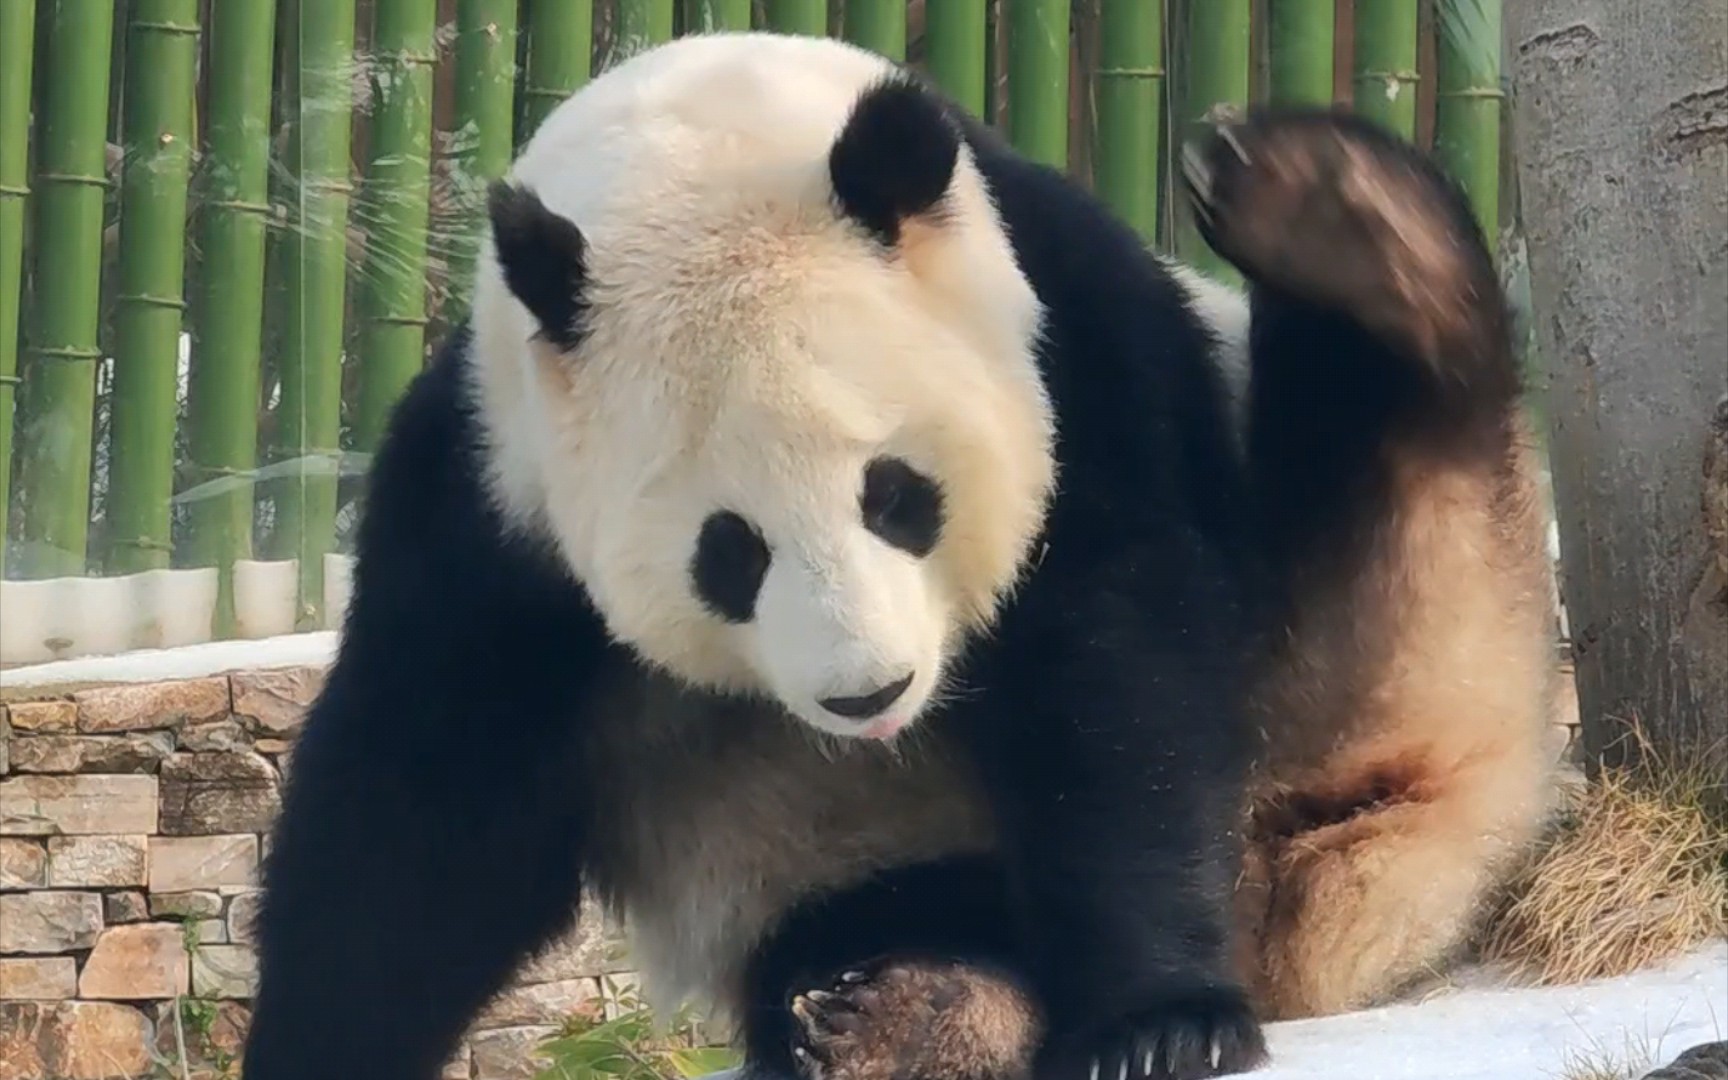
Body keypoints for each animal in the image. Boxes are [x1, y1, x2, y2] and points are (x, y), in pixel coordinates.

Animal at [240, 29, 1555, 1078]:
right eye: (729, 552)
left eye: (898, 498)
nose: (870, 693)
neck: (698, 128)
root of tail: (1303, 914)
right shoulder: (490, 497)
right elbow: (421, 810)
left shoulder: (1062, 340)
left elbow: (1118, 669)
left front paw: (1157, 1024)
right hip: (843, 865)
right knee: (875, 931)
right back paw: (906, 1012)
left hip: (1370, 663)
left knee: (1391, 543)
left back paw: (1340, 218)